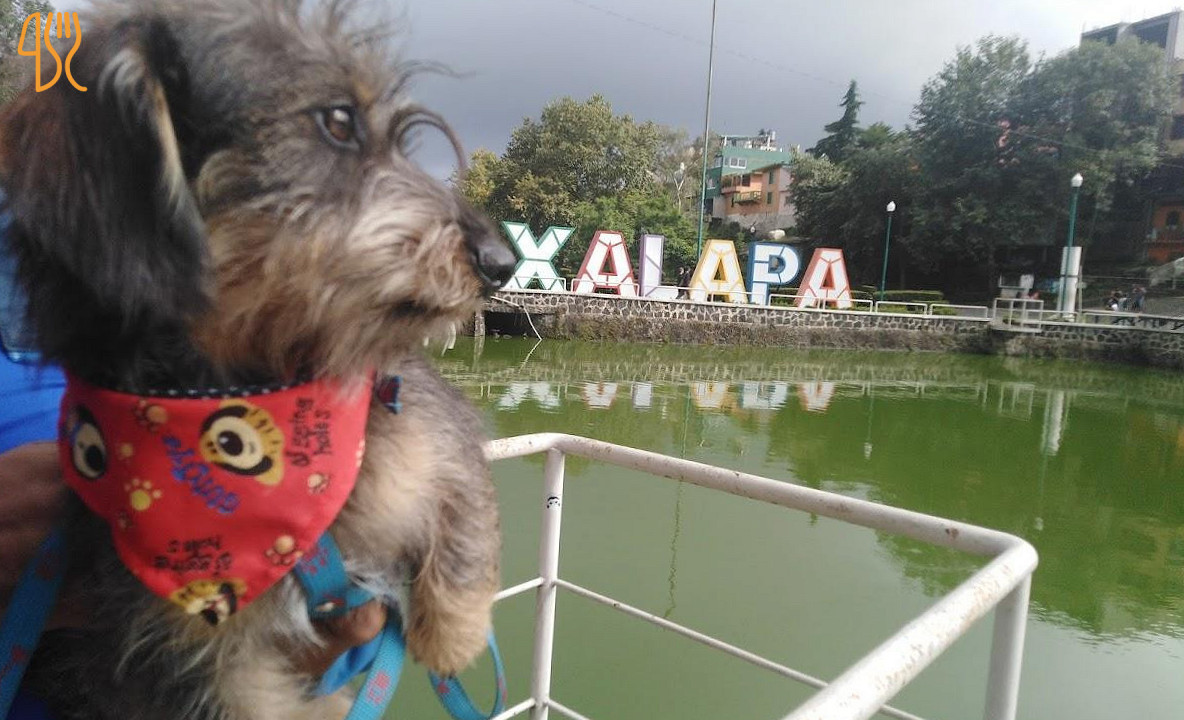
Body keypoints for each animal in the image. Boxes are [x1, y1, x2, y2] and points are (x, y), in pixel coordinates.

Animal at [0, 1, 516, 718]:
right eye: (337, 120)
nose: (502, 262)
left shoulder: (421, 421)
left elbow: (464, 504)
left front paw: (452, 635)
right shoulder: (199, 656)